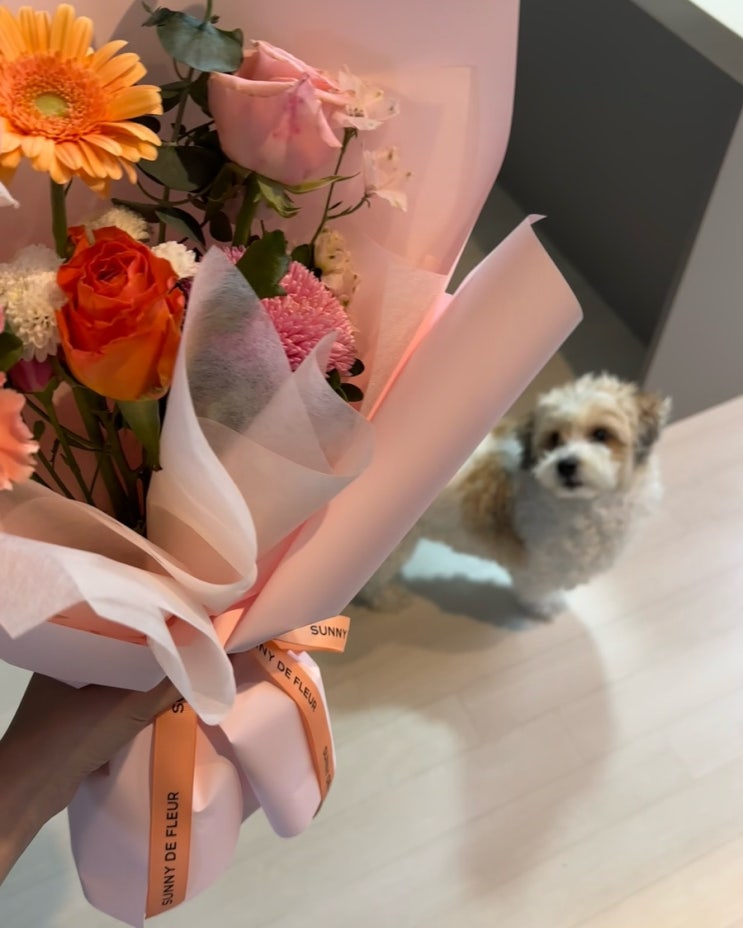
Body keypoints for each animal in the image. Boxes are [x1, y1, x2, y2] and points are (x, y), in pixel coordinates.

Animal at [359, 373, 671, 616]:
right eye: (554, 439)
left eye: (601, 434)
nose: (565, 464)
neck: (587, 504)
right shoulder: (538, 566)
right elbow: (538, 590)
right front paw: (547, 607)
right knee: (373, 581)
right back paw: (386, 597)